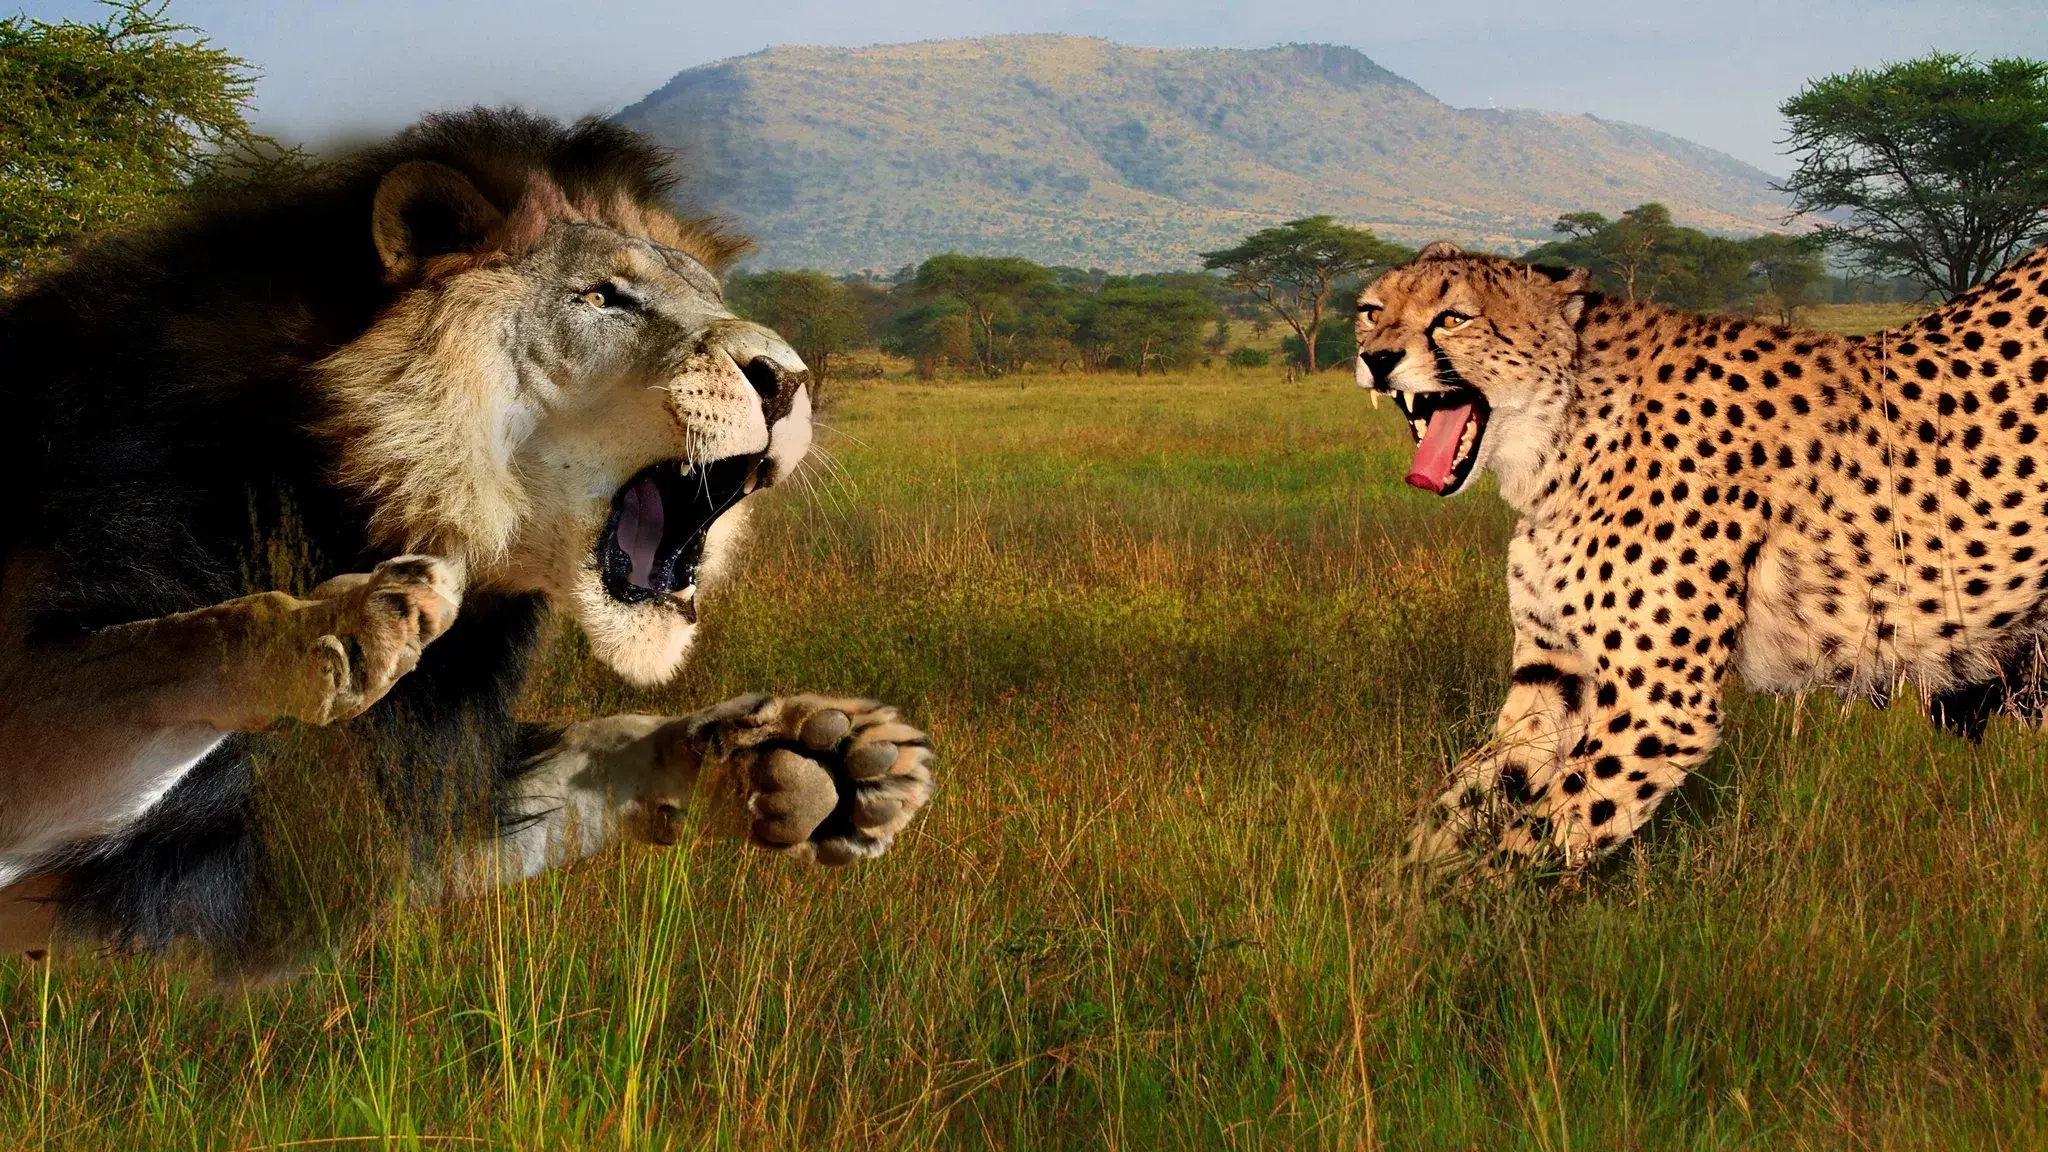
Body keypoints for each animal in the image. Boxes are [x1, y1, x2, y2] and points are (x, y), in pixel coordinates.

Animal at [0, 109, 934, 970]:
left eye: (715, 300)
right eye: (604, 298)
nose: (789, 379)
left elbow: (602, 743)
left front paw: (814, 756)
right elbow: (151, 651)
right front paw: (333, 622)